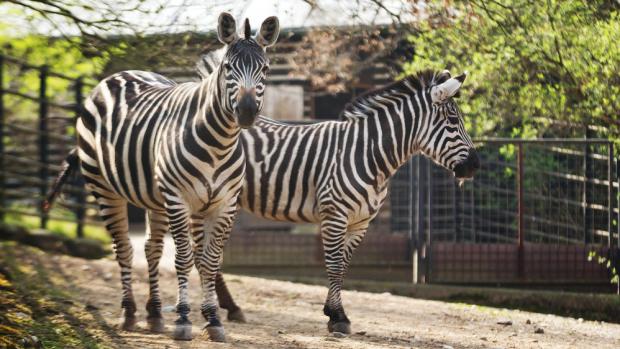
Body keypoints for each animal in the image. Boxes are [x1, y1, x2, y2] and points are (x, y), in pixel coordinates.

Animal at [44, 12, 282, 340]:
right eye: (227, 68)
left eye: (265, 69)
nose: (246, 112)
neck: (220, 143)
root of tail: (117, 76)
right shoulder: (179, 198)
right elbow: (183, 259)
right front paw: (183, 319)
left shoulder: (224, 204)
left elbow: (209, 261)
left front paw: (213, 320)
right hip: (105, 188)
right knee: (123, 248)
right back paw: (129, 312)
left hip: (154, 197)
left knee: (152, 249)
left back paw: (154, 313)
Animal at [194, 54, 480, 332]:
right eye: (453, 121)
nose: (476, 165)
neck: (368, 154)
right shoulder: (335, 215)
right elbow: (333, 265)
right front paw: (339, 317)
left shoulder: (360, 222)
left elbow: (343, 266)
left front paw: (332, 312)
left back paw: (229, 307)